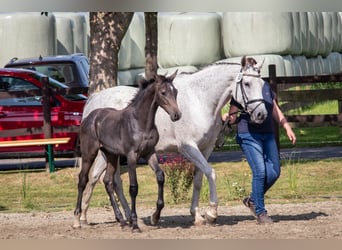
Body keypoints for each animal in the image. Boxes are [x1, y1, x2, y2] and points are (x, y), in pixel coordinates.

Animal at [73, 72, 182, 232]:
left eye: (176, 92)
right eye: (163, 92)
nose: (177, 115)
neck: (140, 122)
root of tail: (88, 117)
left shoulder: (149, 153)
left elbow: (160, 177)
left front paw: (155, 216)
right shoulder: (132, 156)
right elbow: (133, 187)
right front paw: (135, 224)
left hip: (111, 155)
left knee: (107, 181)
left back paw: (121, 220)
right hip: (89, 154)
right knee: (83, 180)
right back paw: (77, 219)